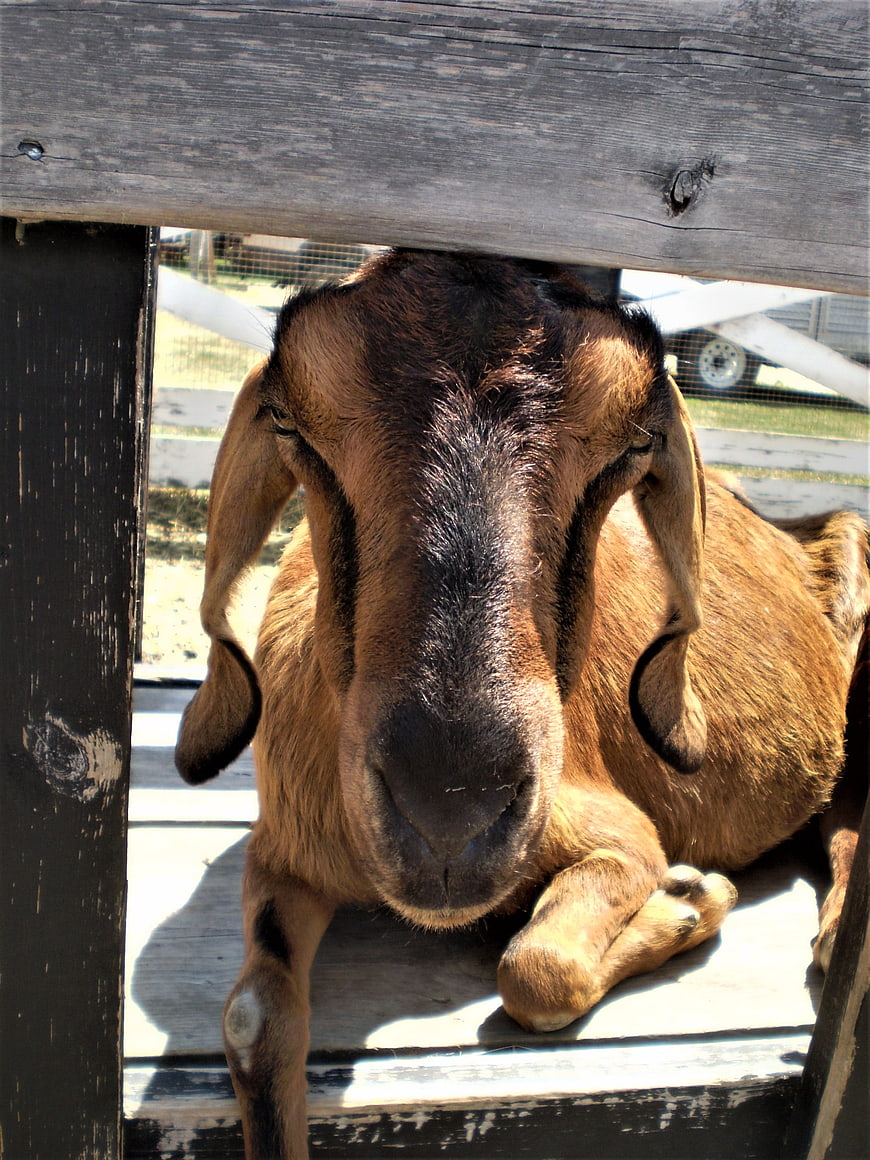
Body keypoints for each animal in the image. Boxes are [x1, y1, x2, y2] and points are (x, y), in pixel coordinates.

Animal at [176, 250, 869, 1159]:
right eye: (291, 423)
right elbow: (253, 1018)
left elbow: (537, 971)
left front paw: (690, 902)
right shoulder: (289, 846)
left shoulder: (620, 834)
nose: (449, 812)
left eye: (635, 442)